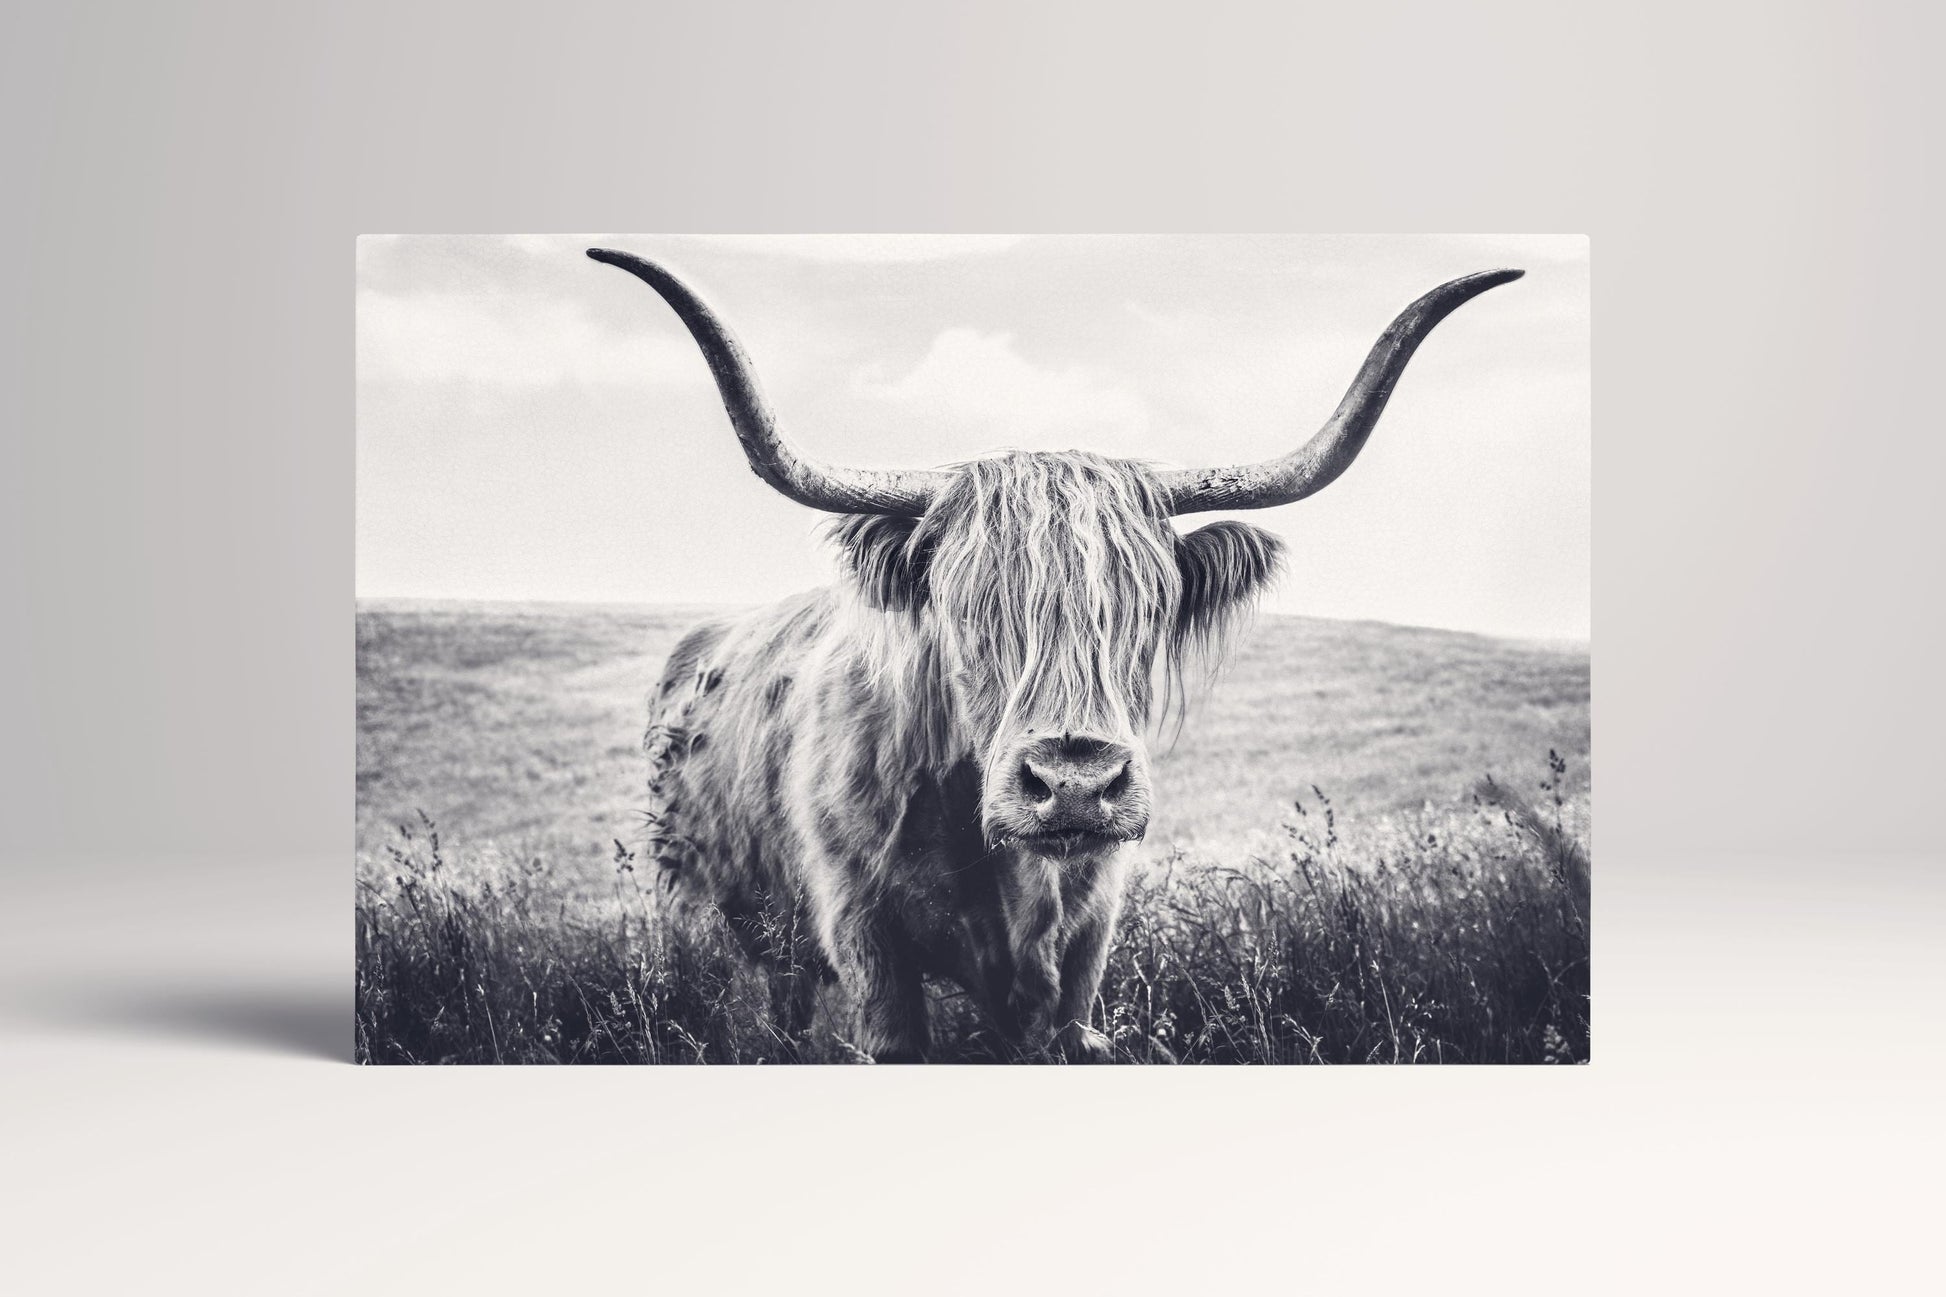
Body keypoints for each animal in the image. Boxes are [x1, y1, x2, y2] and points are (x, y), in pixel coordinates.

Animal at [588, 247, 1521, 1062]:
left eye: (1148, 607)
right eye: (966, 611)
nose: (1075, 783)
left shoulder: (1082, 950)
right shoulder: (864, 936)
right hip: (717, 921)